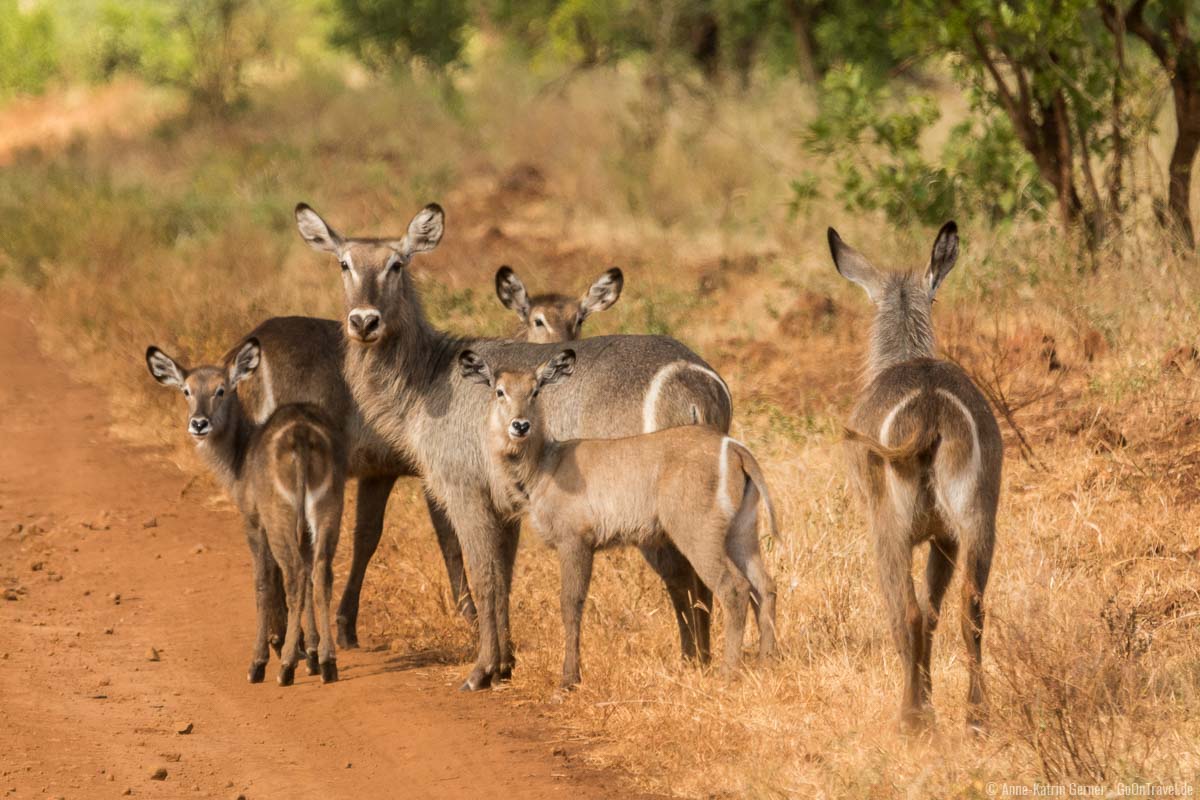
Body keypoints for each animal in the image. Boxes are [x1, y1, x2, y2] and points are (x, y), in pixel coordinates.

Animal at [146, 340, 348, 686]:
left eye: (221, 389)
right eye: (186, 390)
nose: (199, 423)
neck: (241, 452)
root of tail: (303, 434)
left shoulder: (253, 522)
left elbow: (261, 583)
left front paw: (261, 662)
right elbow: (310, 577)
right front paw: (312, 655)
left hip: (279, 518)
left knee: (294, 575)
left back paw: (284, 668)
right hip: (327, 512)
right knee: (320, 573)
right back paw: (328, 664)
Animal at [458, 347, 777, 686]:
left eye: (535, 390)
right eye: (499, 390)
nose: (520, 425)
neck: (544, 465)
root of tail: (734, 449)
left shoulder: (575, 541)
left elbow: (571, 604)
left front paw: (569, 679)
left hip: (699, 534)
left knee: (734, 589)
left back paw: (728, 671)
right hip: (741, 533)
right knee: (764, 585)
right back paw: (768, 660)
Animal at [830, 220, 998, 734]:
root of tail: (929, 404)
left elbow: (915, 614)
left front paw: (923, 704)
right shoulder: (944, 537)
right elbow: (936, 612)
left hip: (890, 529)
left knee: (902, 611)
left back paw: (910, 717)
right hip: (977, 521)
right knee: (971, 607)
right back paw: (976, 716)